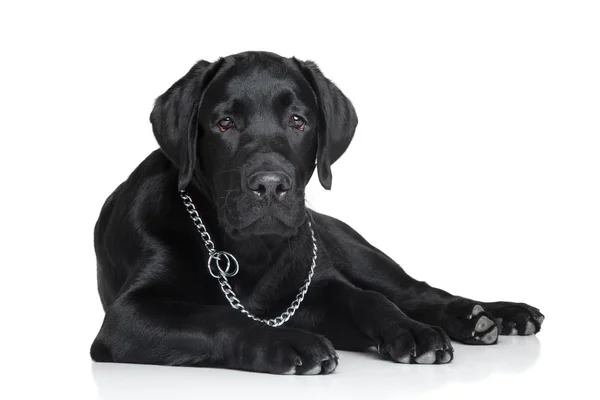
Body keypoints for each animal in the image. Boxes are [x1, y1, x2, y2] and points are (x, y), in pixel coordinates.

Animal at [91, 50, 548, 376]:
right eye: (224, 124)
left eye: (298, 121)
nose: (270, 185)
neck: (248, 251)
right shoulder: (127, 317)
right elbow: (218, 316)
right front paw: (289, 341)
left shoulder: (320, 286)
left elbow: (369, 299)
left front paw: (412, 332)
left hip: (359, 253)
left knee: (415, 292)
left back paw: (489, 315)